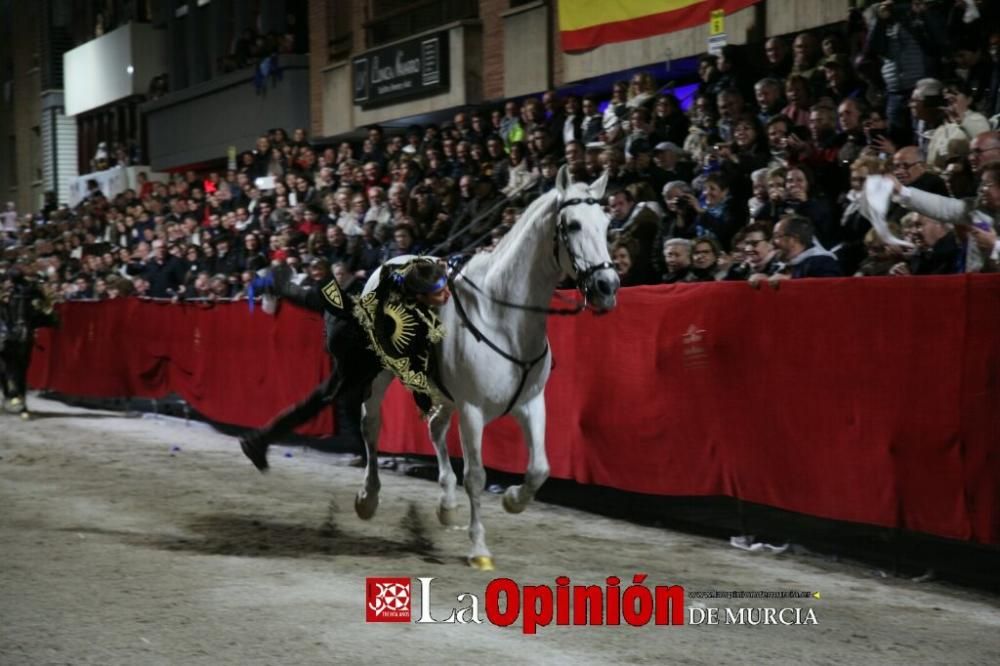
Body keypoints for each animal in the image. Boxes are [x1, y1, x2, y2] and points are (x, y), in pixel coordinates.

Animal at [352, 166, 616, 564]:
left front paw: (512, 499)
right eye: (572, 225)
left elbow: (539, 469)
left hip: (443, 393)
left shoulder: (531, 404)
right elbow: (476, 475)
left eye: (606, 223)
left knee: (435, 427)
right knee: (371, 426)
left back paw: (446, 505)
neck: (503, 318)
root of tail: (390, 265)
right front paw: (479, 547)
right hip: (380, 375)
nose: (606, 286)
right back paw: (368, 498)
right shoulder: (473, 410)